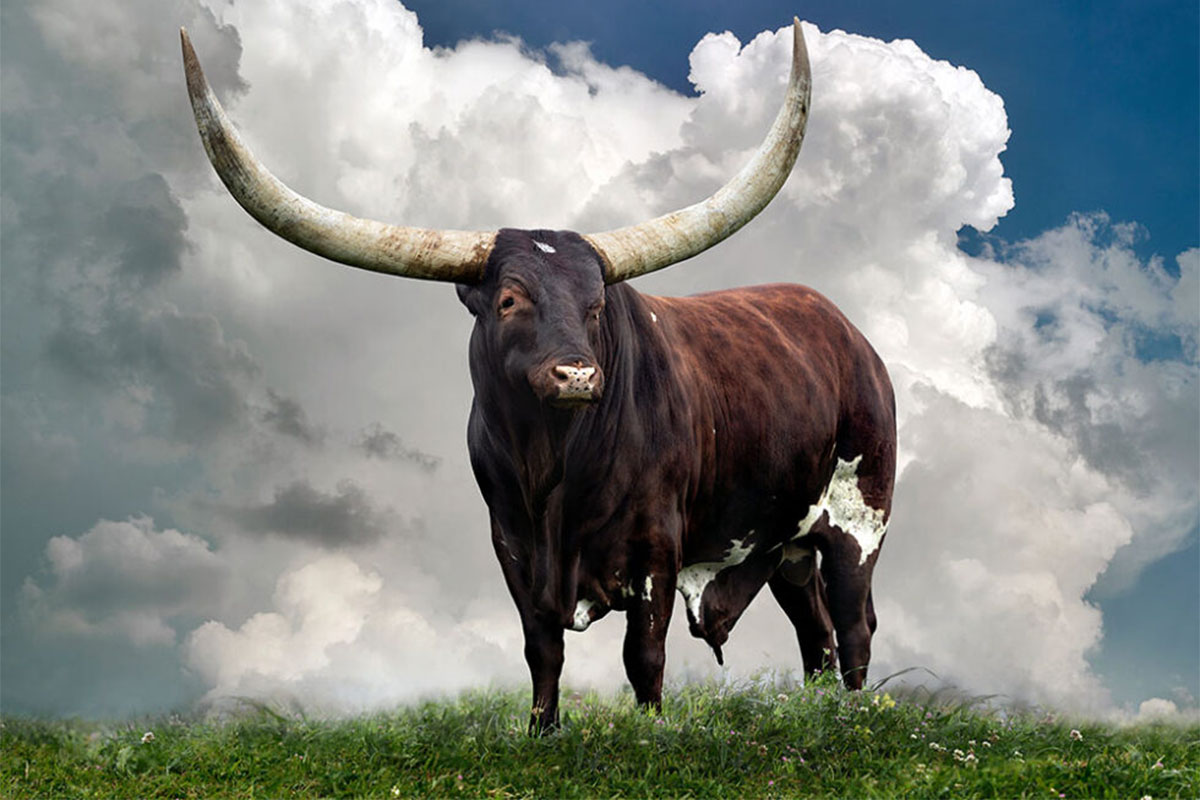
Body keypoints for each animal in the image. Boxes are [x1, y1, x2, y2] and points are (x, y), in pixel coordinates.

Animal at [182, 19, 895, 734]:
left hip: (860, 518)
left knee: (853, 622)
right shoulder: (513, 547)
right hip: (786, 543)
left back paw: (855, 716)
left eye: (597, 305)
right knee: (814, 628)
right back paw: (820, 713)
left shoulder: (657, 547)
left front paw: (649, 731)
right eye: (508, 300)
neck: (553, 472)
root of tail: (850, 336)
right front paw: (542, 731)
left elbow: (644, 654)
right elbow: (541, 649)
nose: (577, 376)